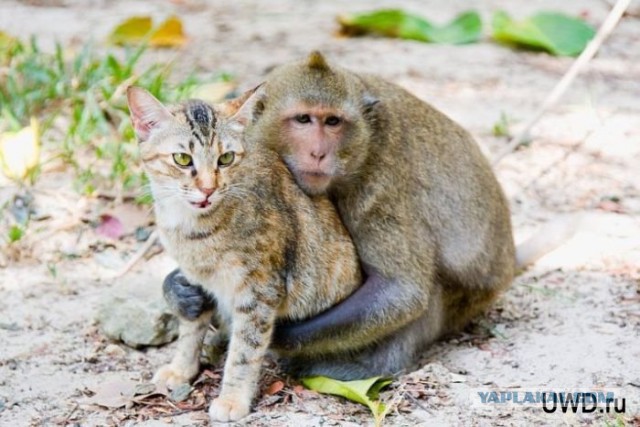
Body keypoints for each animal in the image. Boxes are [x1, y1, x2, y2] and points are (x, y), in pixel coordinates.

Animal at [127, 85, 362, 422]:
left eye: (225, 158)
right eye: (182, 159)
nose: (208, 189)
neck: (191, 229)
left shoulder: (259, 291)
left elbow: (245, 351)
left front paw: (232, 399)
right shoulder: (197, 280)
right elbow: (190, 328)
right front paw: (181, 368)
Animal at [162, 51, 544, 382]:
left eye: (333, 122)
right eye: (303, 119)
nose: (318, 152)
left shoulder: (378, 185)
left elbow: (400, 290)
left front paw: (268, 337)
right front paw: (180, 290)